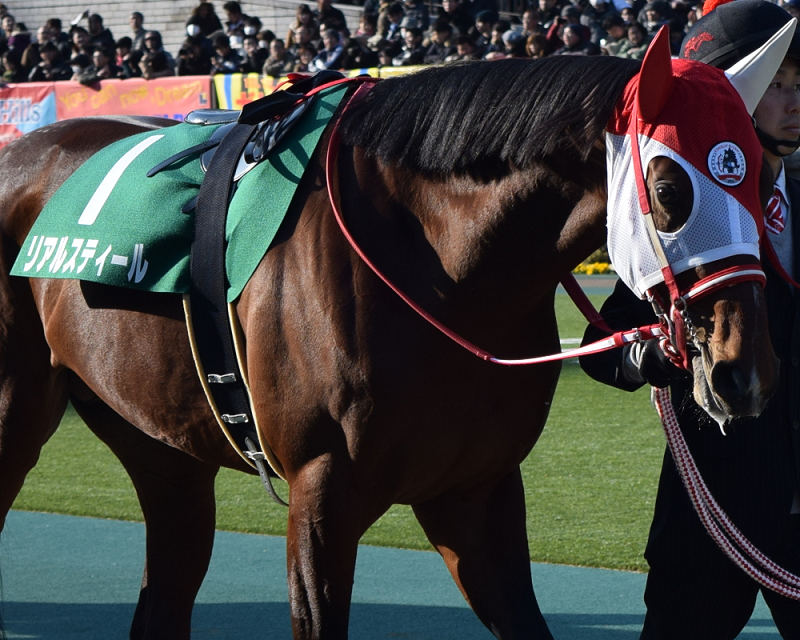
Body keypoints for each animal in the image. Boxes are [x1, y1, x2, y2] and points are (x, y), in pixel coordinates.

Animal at [0, 30, 785, 639]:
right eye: (670, 189)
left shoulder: (474, 492)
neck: (436, 263)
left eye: (763, 179)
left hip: (163, 446)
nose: (744, 371)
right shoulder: (322, 494)